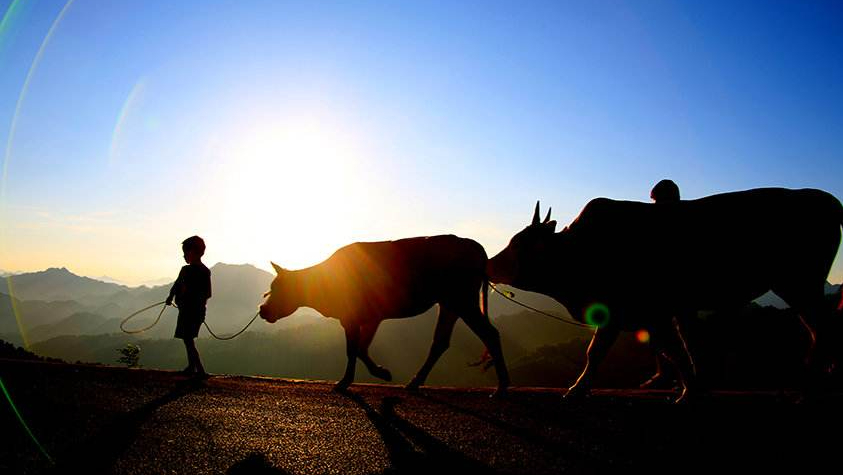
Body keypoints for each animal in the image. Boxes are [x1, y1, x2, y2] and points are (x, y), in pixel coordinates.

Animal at [258, 234, 508, 394]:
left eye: (279, 288)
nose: (262, 309)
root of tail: (475, 246)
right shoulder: (371, 317)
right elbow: (361, 349)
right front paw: (381, 372)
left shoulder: (352, 317)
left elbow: (352, 350)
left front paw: (345, 382)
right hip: (449, 304)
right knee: (440, 342)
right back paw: (415, 382)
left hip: (462, 300)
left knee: (490, 333)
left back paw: (502, 387)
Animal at [488, 188, 843, 404]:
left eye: (518, 244)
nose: (488, 264)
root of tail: (827, 200)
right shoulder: (647, 315)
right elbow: (673, 349)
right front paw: (691, 386)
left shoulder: (639, 311)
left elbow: (603, 351)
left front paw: (576, 389)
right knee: (820, 329)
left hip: (798, 283)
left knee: (823, 328)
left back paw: (812, 387)